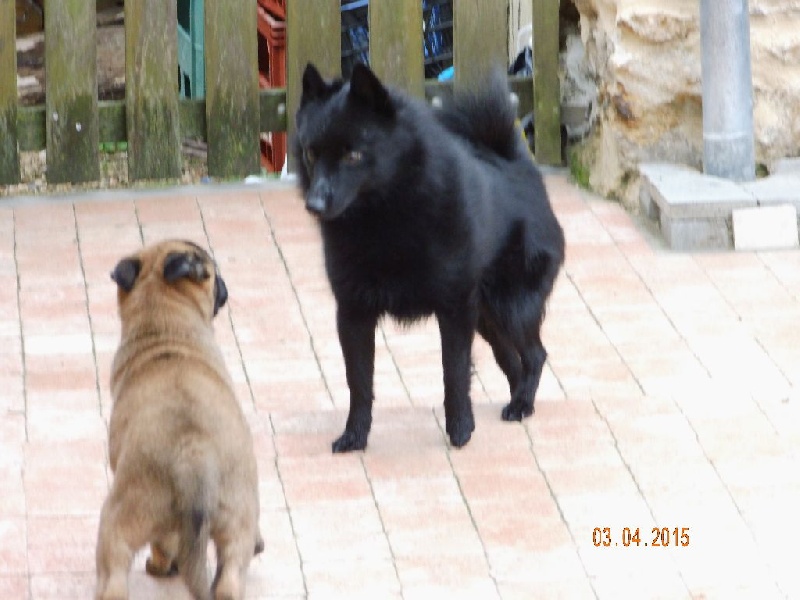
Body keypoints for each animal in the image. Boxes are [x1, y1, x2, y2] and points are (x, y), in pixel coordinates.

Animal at [95, 240, 263, 600]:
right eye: (213, 274)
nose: (224, 285)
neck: (163, 324)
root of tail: (194, 455)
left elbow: (165, 542)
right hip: (235, 521)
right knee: (229, 577)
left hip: (120, 520)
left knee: (117, 572)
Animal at [293, 63, 565, 452]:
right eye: (312, 154)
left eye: (353, 155)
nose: (314, 204)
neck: (384, 219)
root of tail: (514, 160)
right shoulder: (353, 311)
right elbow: (358, 382)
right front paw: (354, 436)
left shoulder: (453, 308)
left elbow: (454, 372)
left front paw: (460, 430)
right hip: (486, 316)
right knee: (511, 359)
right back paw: (516, 400)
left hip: (510, 305)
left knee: (535, 355)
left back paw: (522, 404)